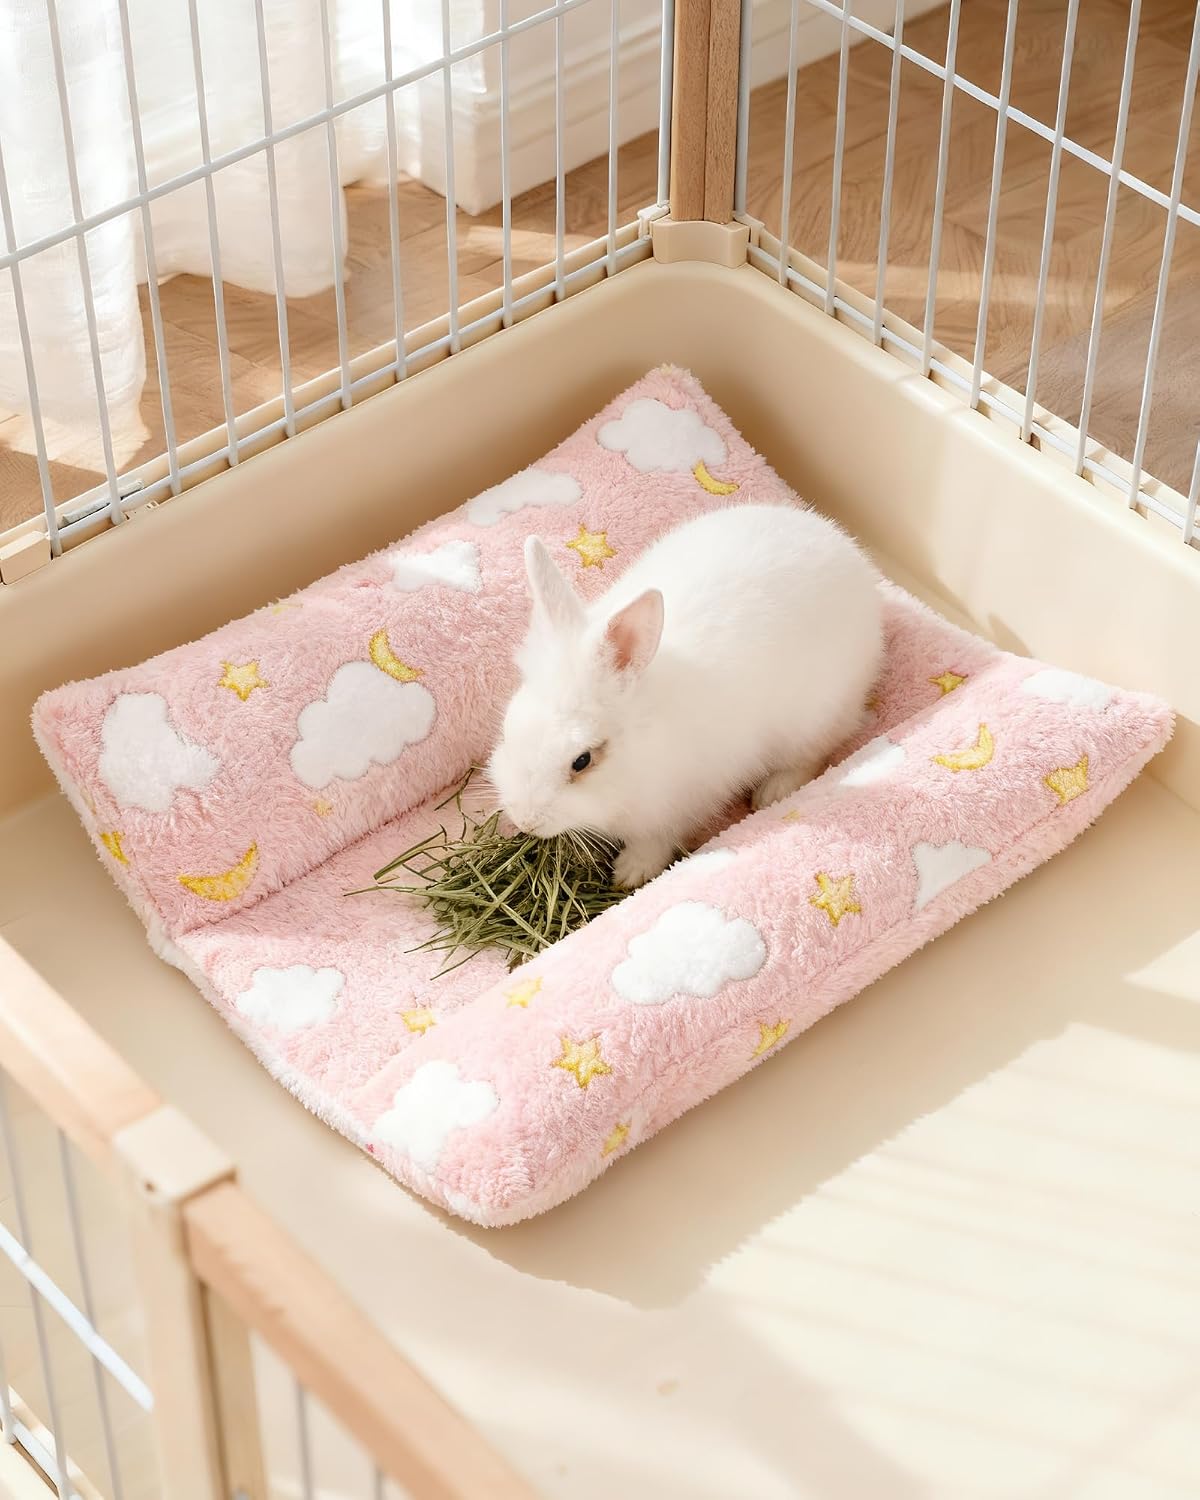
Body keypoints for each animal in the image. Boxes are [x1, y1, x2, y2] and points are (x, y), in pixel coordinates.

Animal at [488, 501, 885, 889]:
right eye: (507, 729)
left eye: (582, 760)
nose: (526, 821)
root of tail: (853, 556)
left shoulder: (679, 804)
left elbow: (656, 839)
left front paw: (631, 872)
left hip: (813, 719)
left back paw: (772, 792)